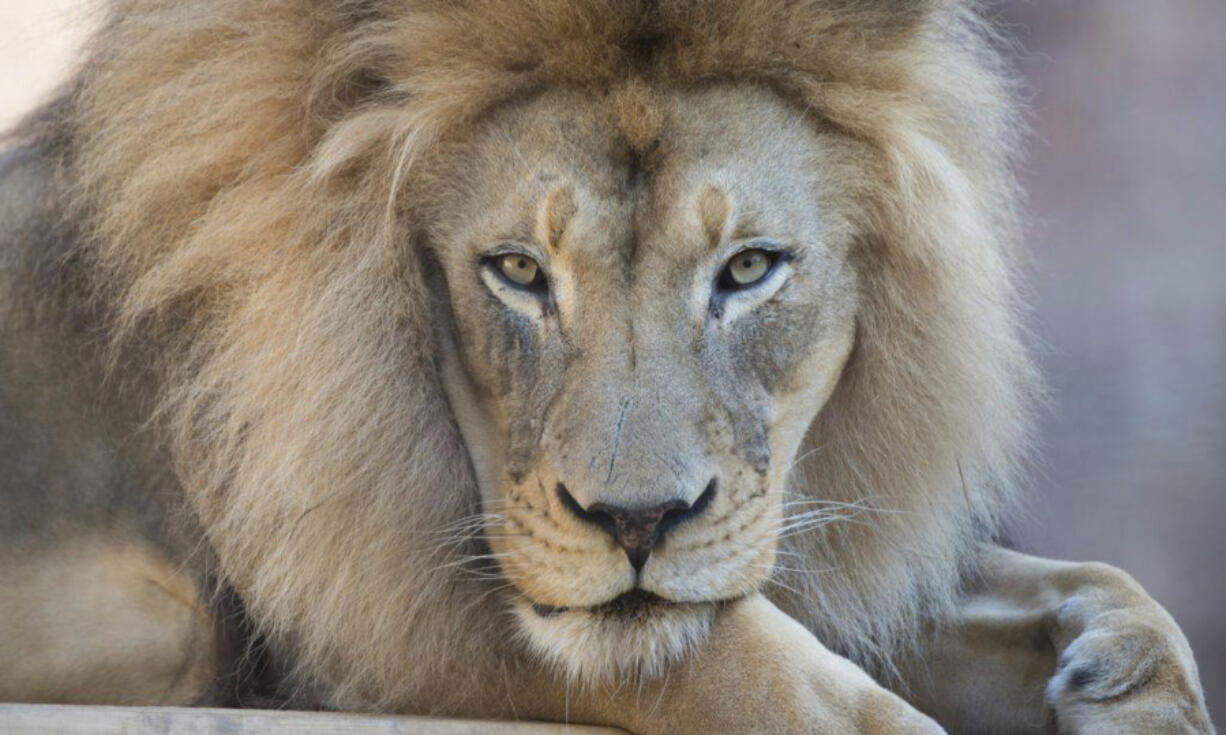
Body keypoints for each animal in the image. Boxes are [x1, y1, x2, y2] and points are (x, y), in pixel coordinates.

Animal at [0, 0, 1211, 730]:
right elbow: (773, 681)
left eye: (748, 268)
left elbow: (1100, 585)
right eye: (518, 270)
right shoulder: (374, 606)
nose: (637, 523)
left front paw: (1123, 685)